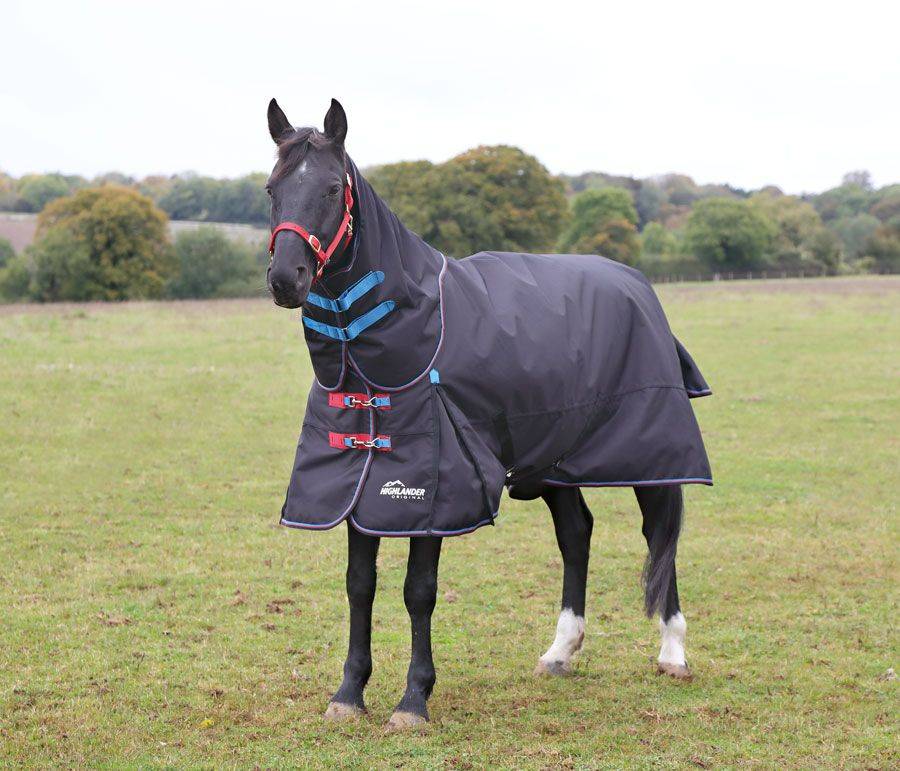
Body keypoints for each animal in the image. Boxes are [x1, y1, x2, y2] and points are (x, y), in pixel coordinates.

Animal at [264, 99, 708, 732]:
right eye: (272, 189)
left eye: (329, 188)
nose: (286, 279)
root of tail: (636, 283)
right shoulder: (359, 479)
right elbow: (359, 585)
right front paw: (349, 693)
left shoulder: (434, 485)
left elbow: (418, 590)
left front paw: (413, 700)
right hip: (556, 457)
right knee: (577, 534)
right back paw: (561, 651)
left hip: (652, 452)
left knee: (659, 534)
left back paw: (673, 652)